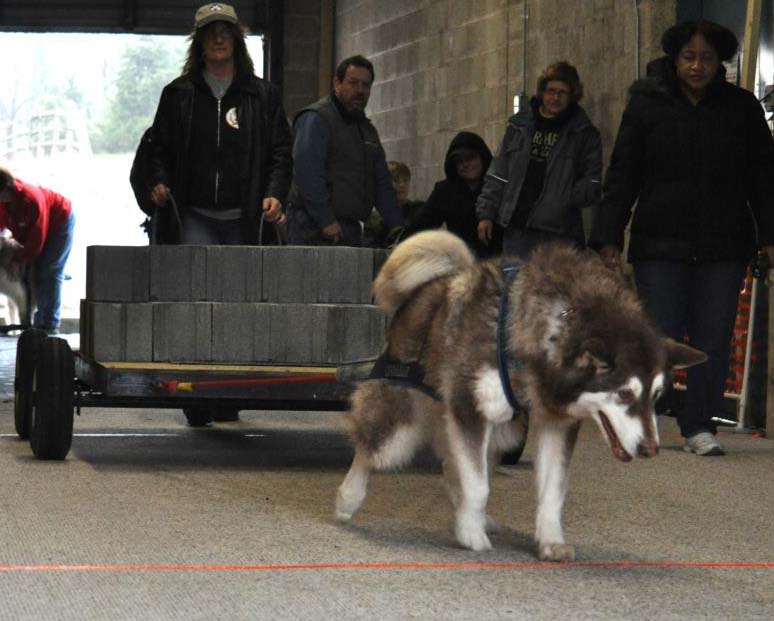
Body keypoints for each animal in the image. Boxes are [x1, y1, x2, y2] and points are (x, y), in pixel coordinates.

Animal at [336, 230, 708, 560]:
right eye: (625, 394)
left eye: (656, 396)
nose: (650, 449)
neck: (554, 330)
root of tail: (433, 286)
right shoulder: (470, 405)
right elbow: (478, 485)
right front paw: (470, 534)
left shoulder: (556, 421)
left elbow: (551, 489)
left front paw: (550, 539)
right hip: (401, 425)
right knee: (371, 449)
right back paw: (349, 497)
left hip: (504, 430)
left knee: (455, 464)